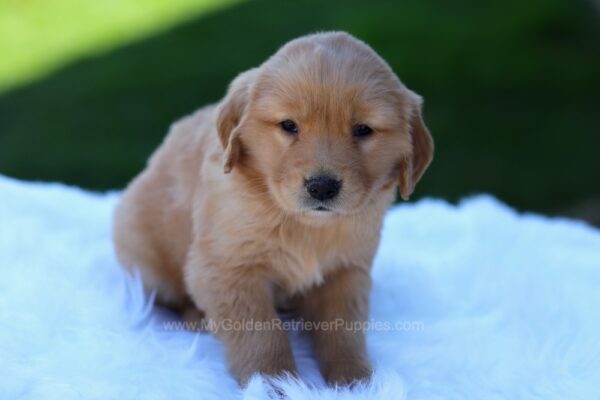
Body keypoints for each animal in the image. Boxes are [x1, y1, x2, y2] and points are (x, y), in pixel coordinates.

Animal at [112, 32, 432, 386]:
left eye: (363, 129)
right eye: (289, 125)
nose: (322, 187)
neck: (302, 223)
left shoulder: (347, 270)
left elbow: (344, 328)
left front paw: (356, 380)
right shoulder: (228, 268)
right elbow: (260, 333)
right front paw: (274, 382)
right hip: (143, 255)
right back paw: (197, 317)